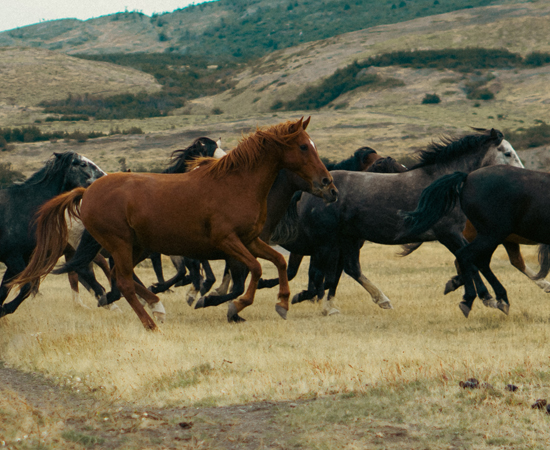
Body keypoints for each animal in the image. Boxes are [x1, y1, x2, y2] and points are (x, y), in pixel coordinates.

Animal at [12, 118, 338, 330]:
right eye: (303, 147)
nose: (329, 185)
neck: (237, 184)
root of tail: (88, 190)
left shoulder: (250, 240)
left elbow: (278, 263)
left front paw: (282, 303)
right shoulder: (227, 241)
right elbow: (254, 270)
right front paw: (234, 305)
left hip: (136, 246)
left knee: (119, 277)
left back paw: (155, 306)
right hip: (120, 243)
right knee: (124, 282)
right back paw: (150, 322)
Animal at [398, 164, 550, 316]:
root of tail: (467, 177)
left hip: (492, 237)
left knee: (480, 261)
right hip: (491, 235)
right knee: (466, 257)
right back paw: (472, 299)